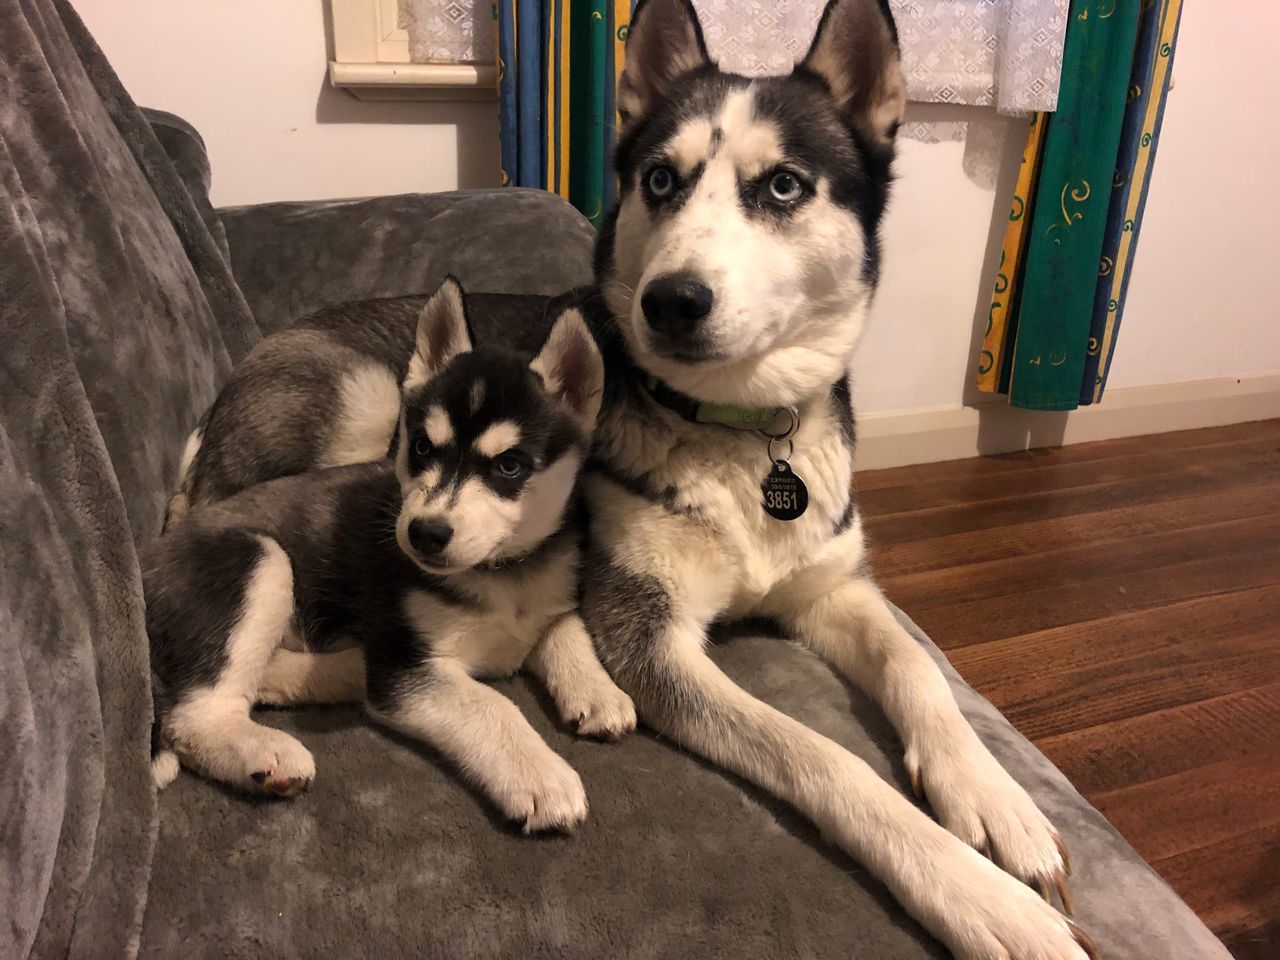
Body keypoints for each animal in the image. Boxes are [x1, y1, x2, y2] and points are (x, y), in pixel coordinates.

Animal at [146, 288, 634, 834]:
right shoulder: (405, 665)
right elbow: (492, 703)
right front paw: (541, 775)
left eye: (510, 466)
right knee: (193, 716)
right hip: (261, 558)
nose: (425, 533)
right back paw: (262, 749)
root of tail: (152, 551)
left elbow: (566, 626)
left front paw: (598, 690)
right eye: (420, 447)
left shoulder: (545, 598)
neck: (501, 573)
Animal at [573, 0, 1100, 957]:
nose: (670, 301)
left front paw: (994, 796)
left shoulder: (833, 587)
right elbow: (824, 753)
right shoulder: (649, 636)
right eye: (660, 181)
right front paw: (980, 895)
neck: (743, 433)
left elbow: (918, 668)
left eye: (784, 187)